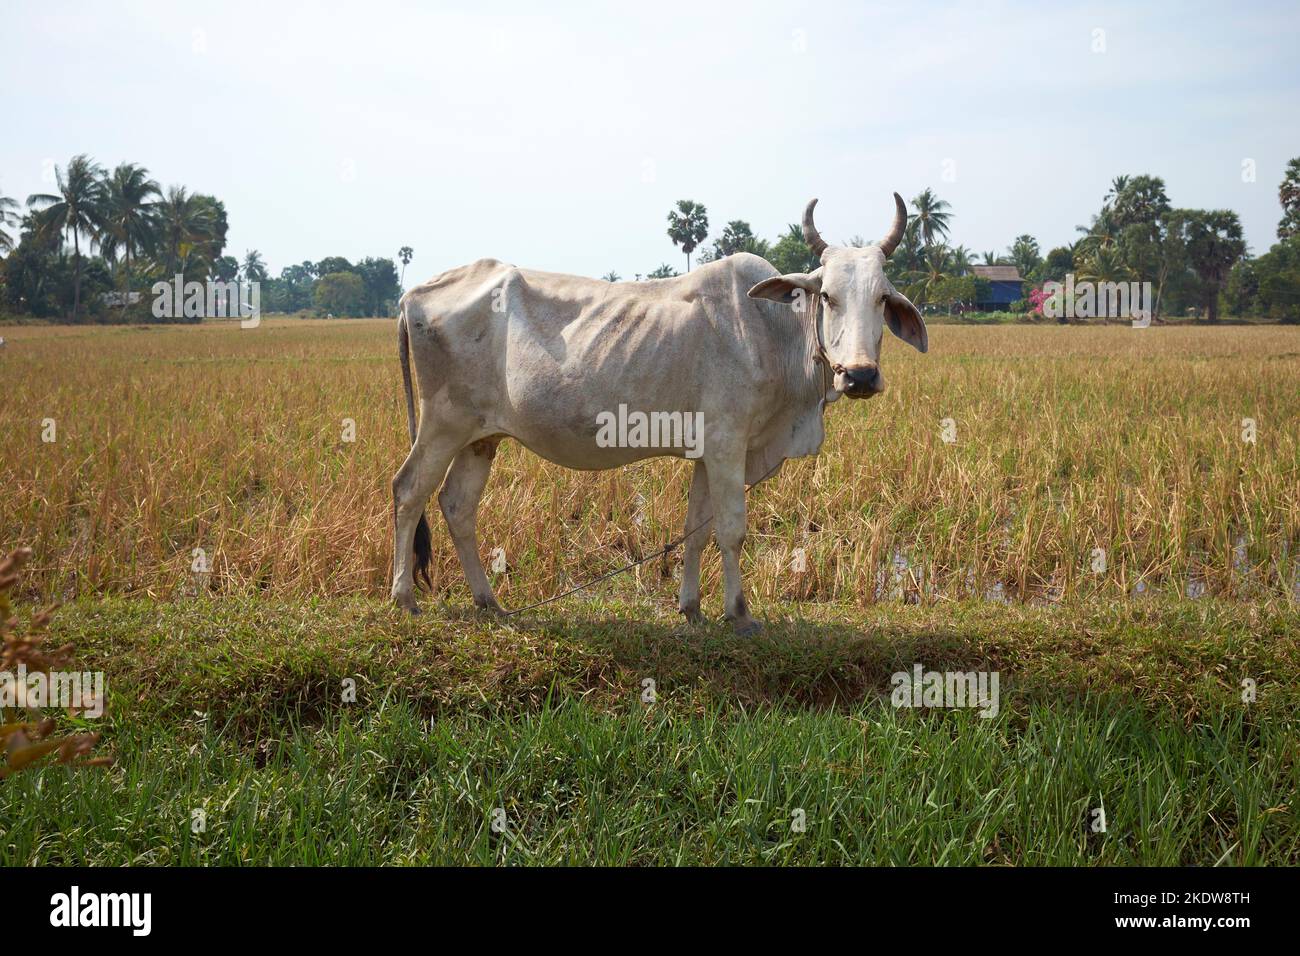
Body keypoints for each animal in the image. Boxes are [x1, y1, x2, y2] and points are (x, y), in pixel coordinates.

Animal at [392, 195, 925, 632]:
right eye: (828, 296)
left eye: (882, 297)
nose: (859, 376)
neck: (773, 332)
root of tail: (414, 293)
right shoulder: (728, 445)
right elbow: (731, 530)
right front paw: (740, 613)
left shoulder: (708, 452)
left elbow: (698, 530)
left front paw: (691, 608)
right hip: (442, 424)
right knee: (409, 490)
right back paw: (404, 598)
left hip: (481, 437)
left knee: (457, 505)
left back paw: (489, 602)